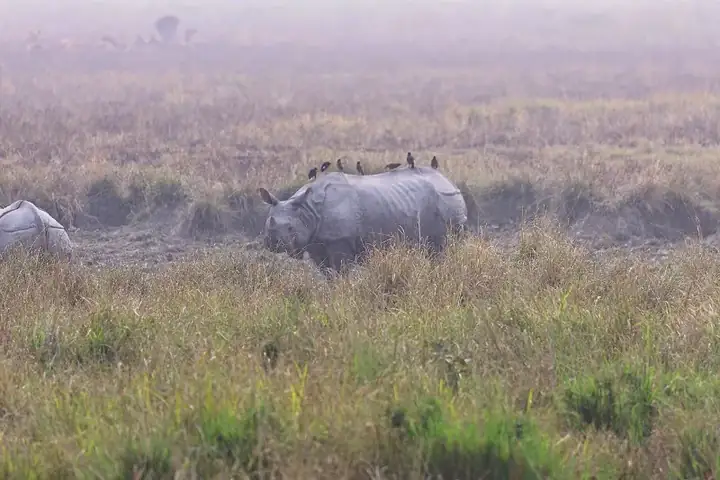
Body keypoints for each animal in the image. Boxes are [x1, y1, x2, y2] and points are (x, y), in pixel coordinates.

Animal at [257, 165, 468, 272]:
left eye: (291, 229)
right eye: (268, 222)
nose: (274, 244)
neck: (306, 210)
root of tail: (448, 181)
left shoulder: (339, 240)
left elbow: (340, 271)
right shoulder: (316, 241)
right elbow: (326, 273)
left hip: (448, 201)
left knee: (440, 249)